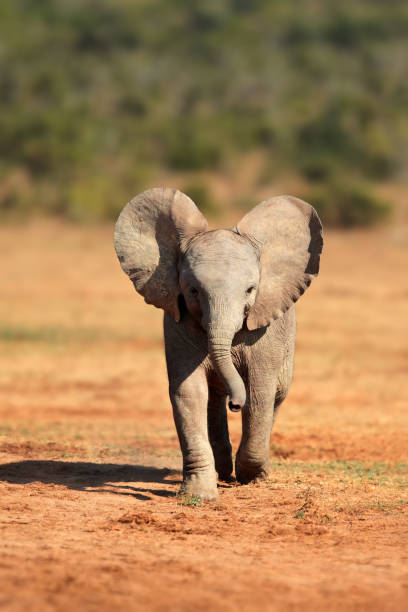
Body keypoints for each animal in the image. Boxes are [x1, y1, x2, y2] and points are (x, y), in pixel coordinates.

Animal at [113, 188, 324, 502]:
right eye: (192, 291)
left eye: (250, 290)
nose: (235, 403)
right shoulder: (178, 324)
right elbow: (189, 392)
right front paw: (199, 495)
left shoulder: (266, 333)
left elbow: (259, 393)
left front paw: (251, 476)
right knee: (212, 400)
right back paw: (222, 471)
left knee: (277, 394)